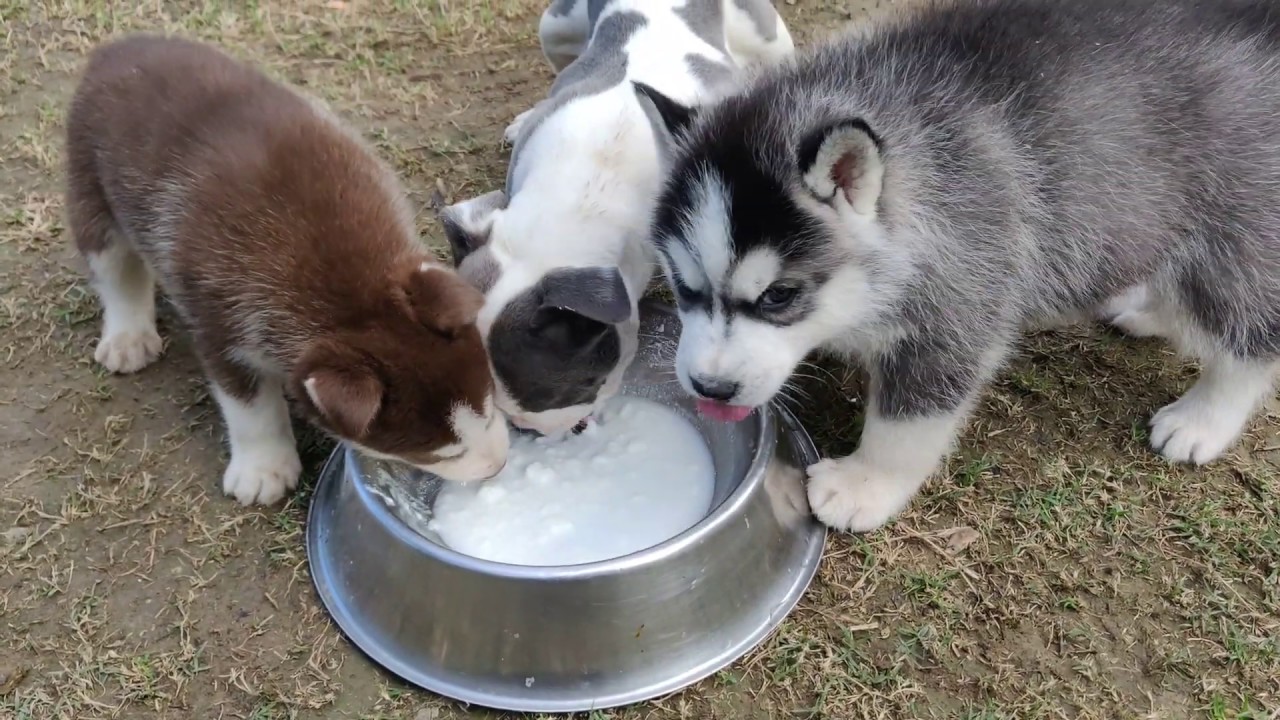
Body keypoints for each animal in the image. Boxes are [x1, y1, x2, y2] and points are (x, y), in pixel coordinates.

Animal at [63, 33, 504, 504]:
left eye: (490, 405)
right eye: (442, 452)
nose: (499, 466)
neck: (349, 288)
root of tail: (118, 47)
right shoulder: (221, 325)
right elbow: (251, 406)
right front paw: (263, 467)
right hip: (89, 182)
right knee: (114, 268)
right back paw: (127, 336)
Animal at [645, 0, 1280, 530]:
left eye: (779, 296)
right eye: (683, 285)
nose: (710, 387)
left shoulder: (960, 303)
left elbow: (908, 421)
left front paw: (864, 485)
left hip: (1232, 230)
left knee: (1251, 332)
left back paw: (1203, 419)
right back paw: (1148, 311)